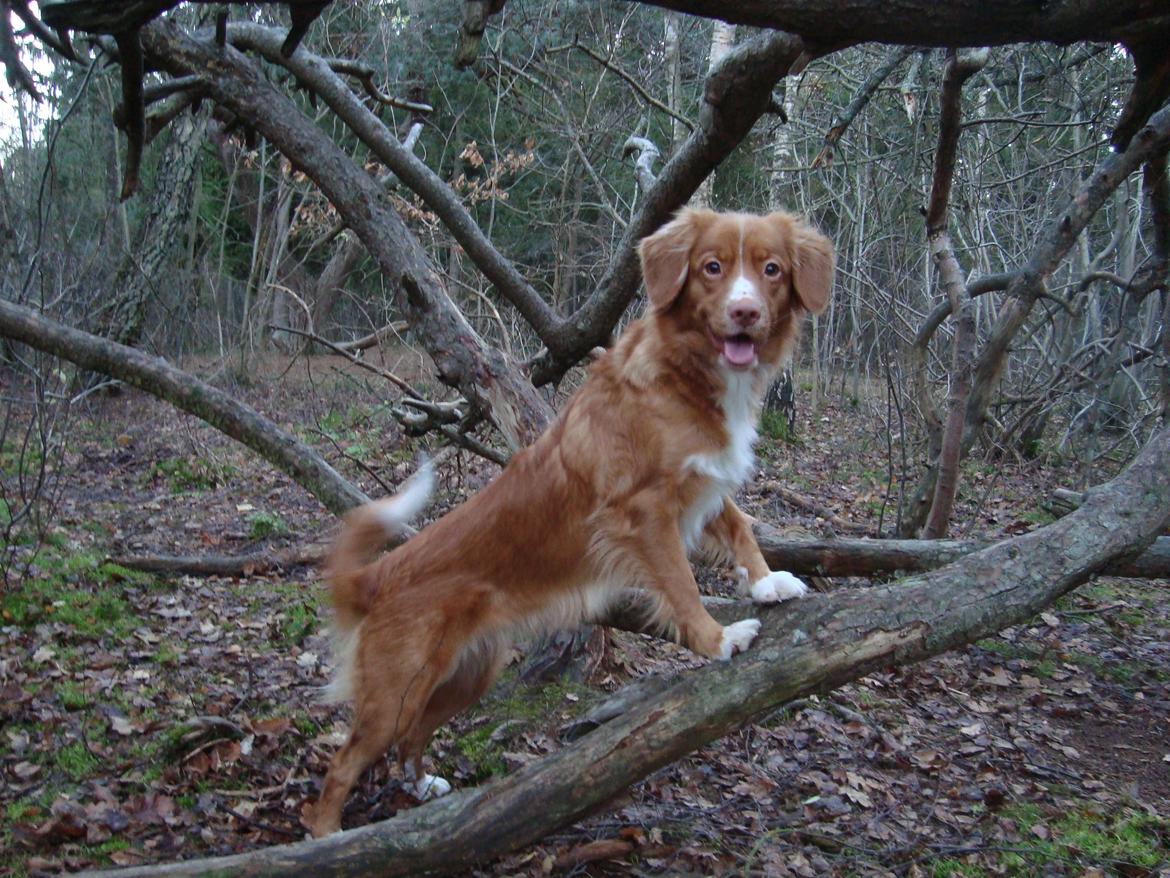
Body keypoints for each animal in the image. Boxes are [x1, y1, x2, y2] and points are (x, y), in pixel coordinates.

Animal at [301, 208, 833, 838]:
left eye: (771, 270)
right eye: (712, 267)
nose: (746, 312)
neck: (686, 374)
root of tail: (379, 576)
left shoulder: (703, 485)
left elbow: (739, 527)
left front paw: (766, 581)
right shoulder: (643, 512)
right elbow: (680, 583)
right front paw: (716, 638)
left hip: (466, 676)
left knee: (414, 732)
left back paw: (421, 783)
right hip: (397, 688)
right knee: (345, 760)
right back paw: (325, 836)